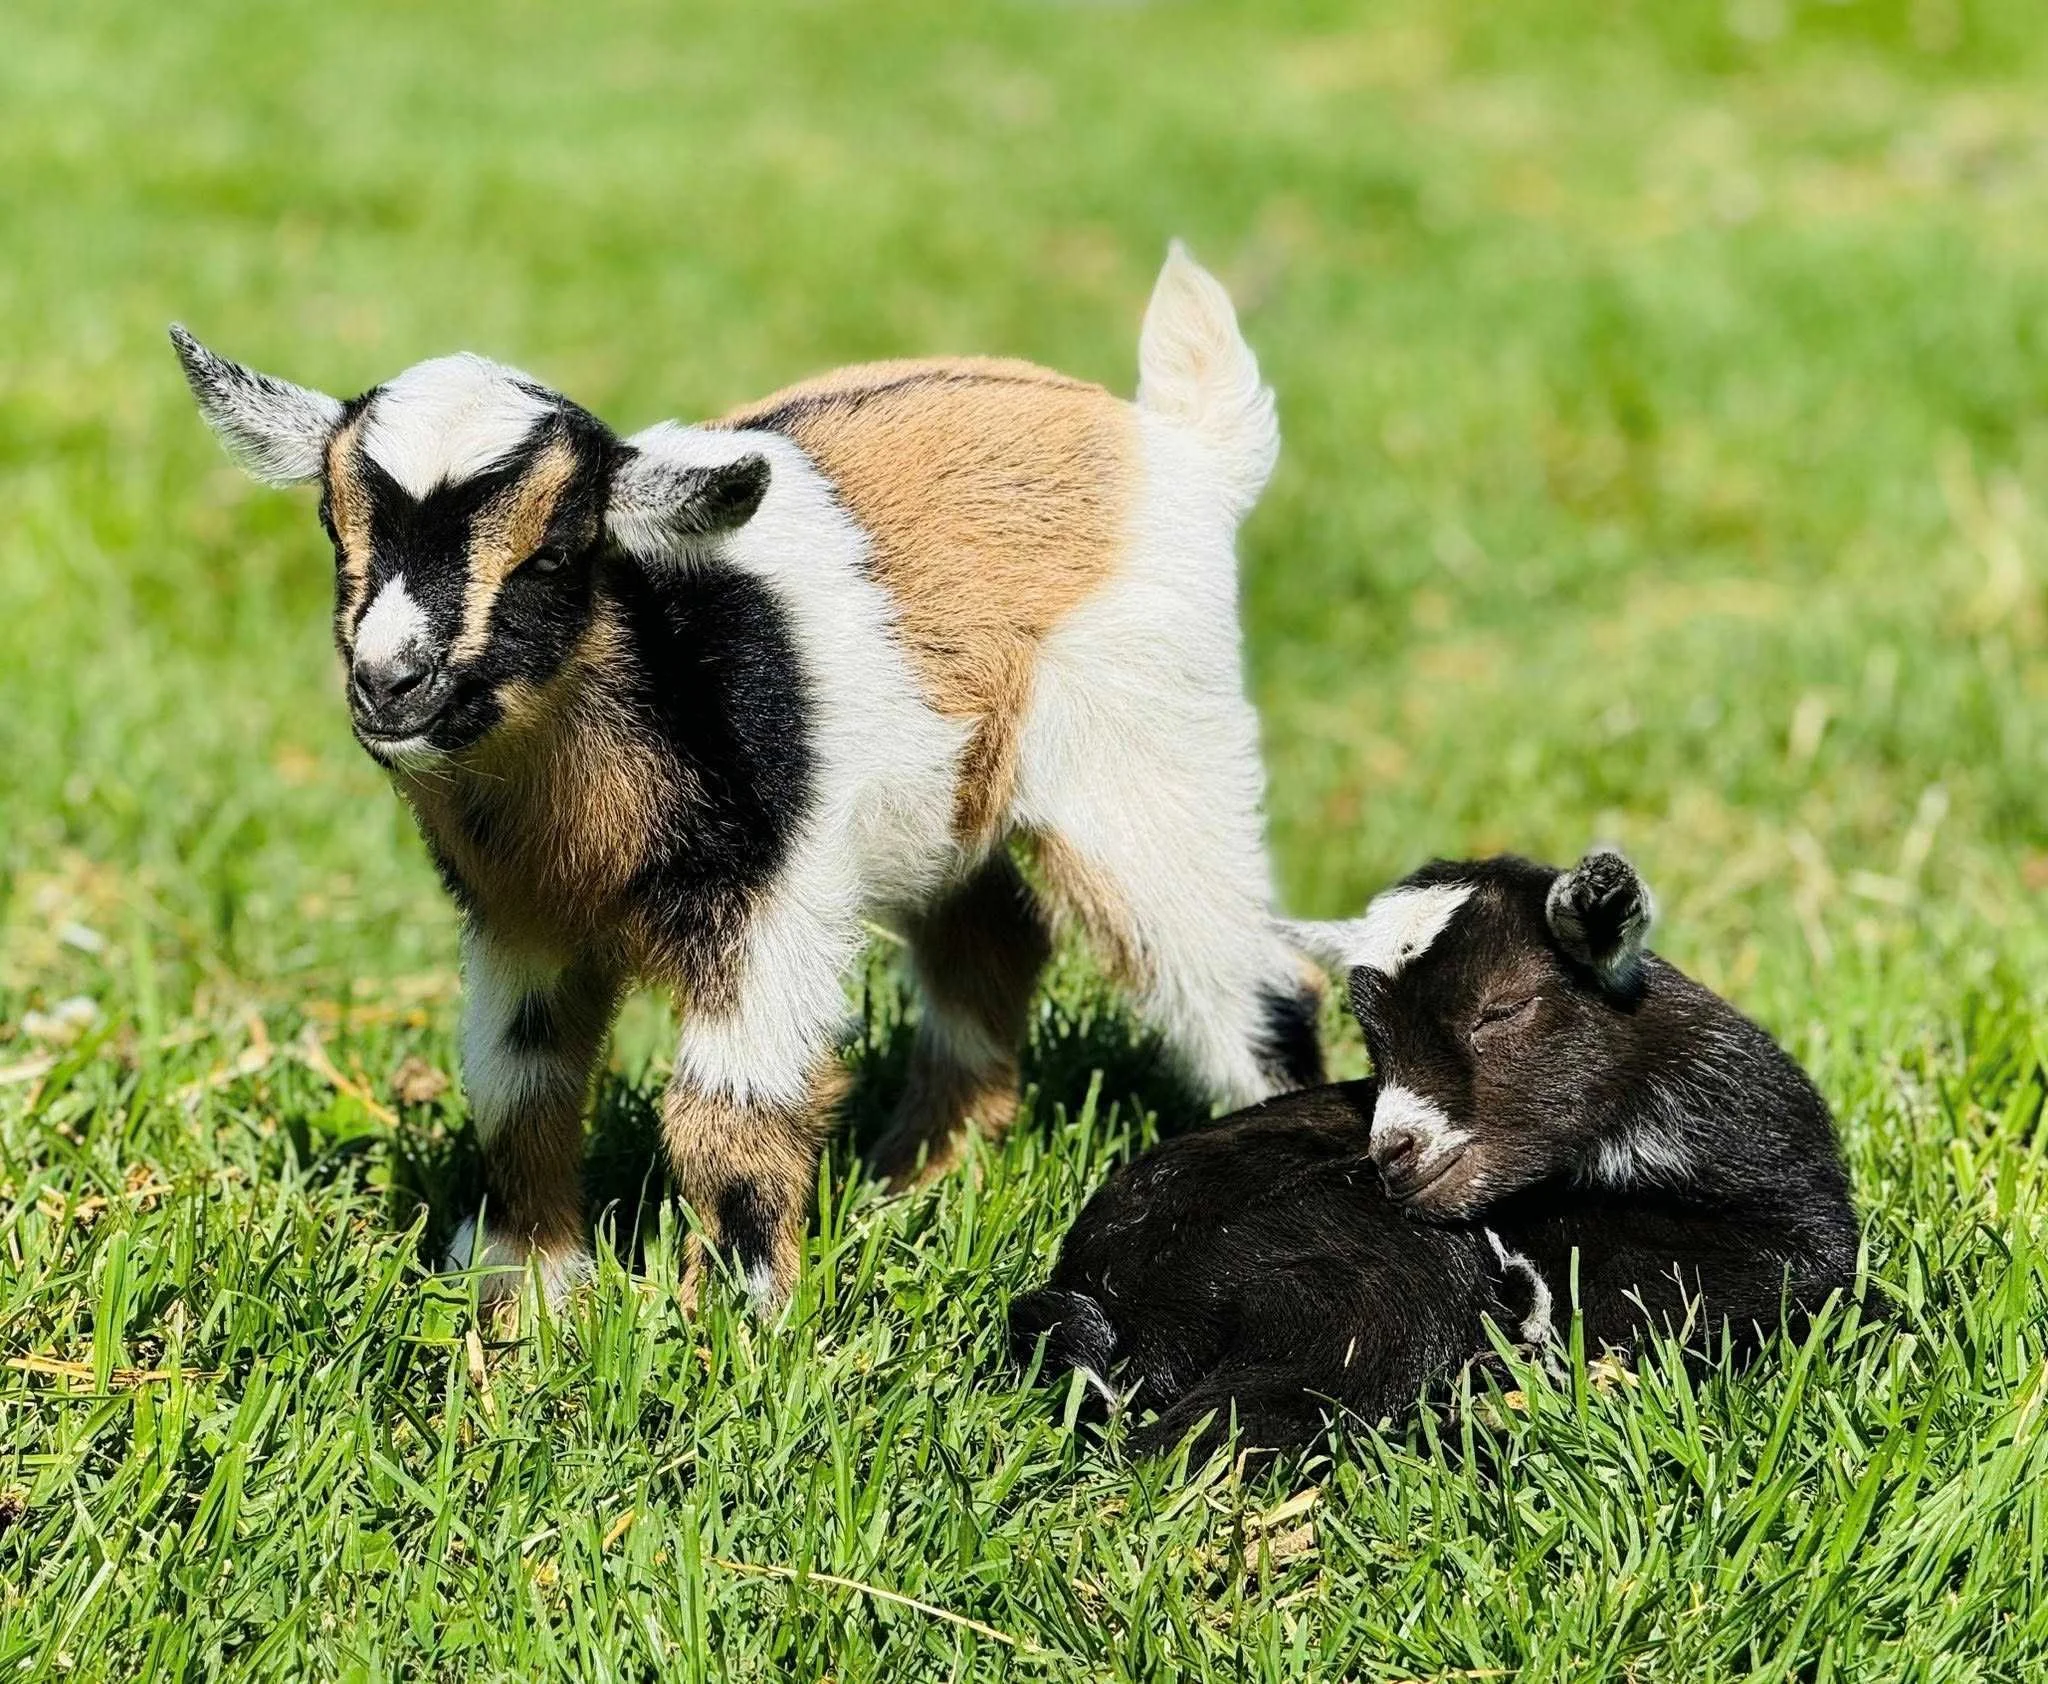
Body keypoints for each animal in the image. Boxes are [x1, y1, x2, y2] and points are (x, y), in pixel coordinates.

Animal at [171, 246, 1324, 1311]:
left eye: (554, 556)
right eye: (336, 534)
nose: (389, 682)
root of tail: (1175, 449)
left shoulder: (771, 897)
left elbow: (729, 1108)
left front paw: (730, 1316)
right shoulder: (520, 916)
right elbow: (519, 1088)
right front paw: (520, 1291)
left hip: (1153, 746)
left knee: (1247, 975)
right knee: (991, 939)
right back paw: (910, 1182)